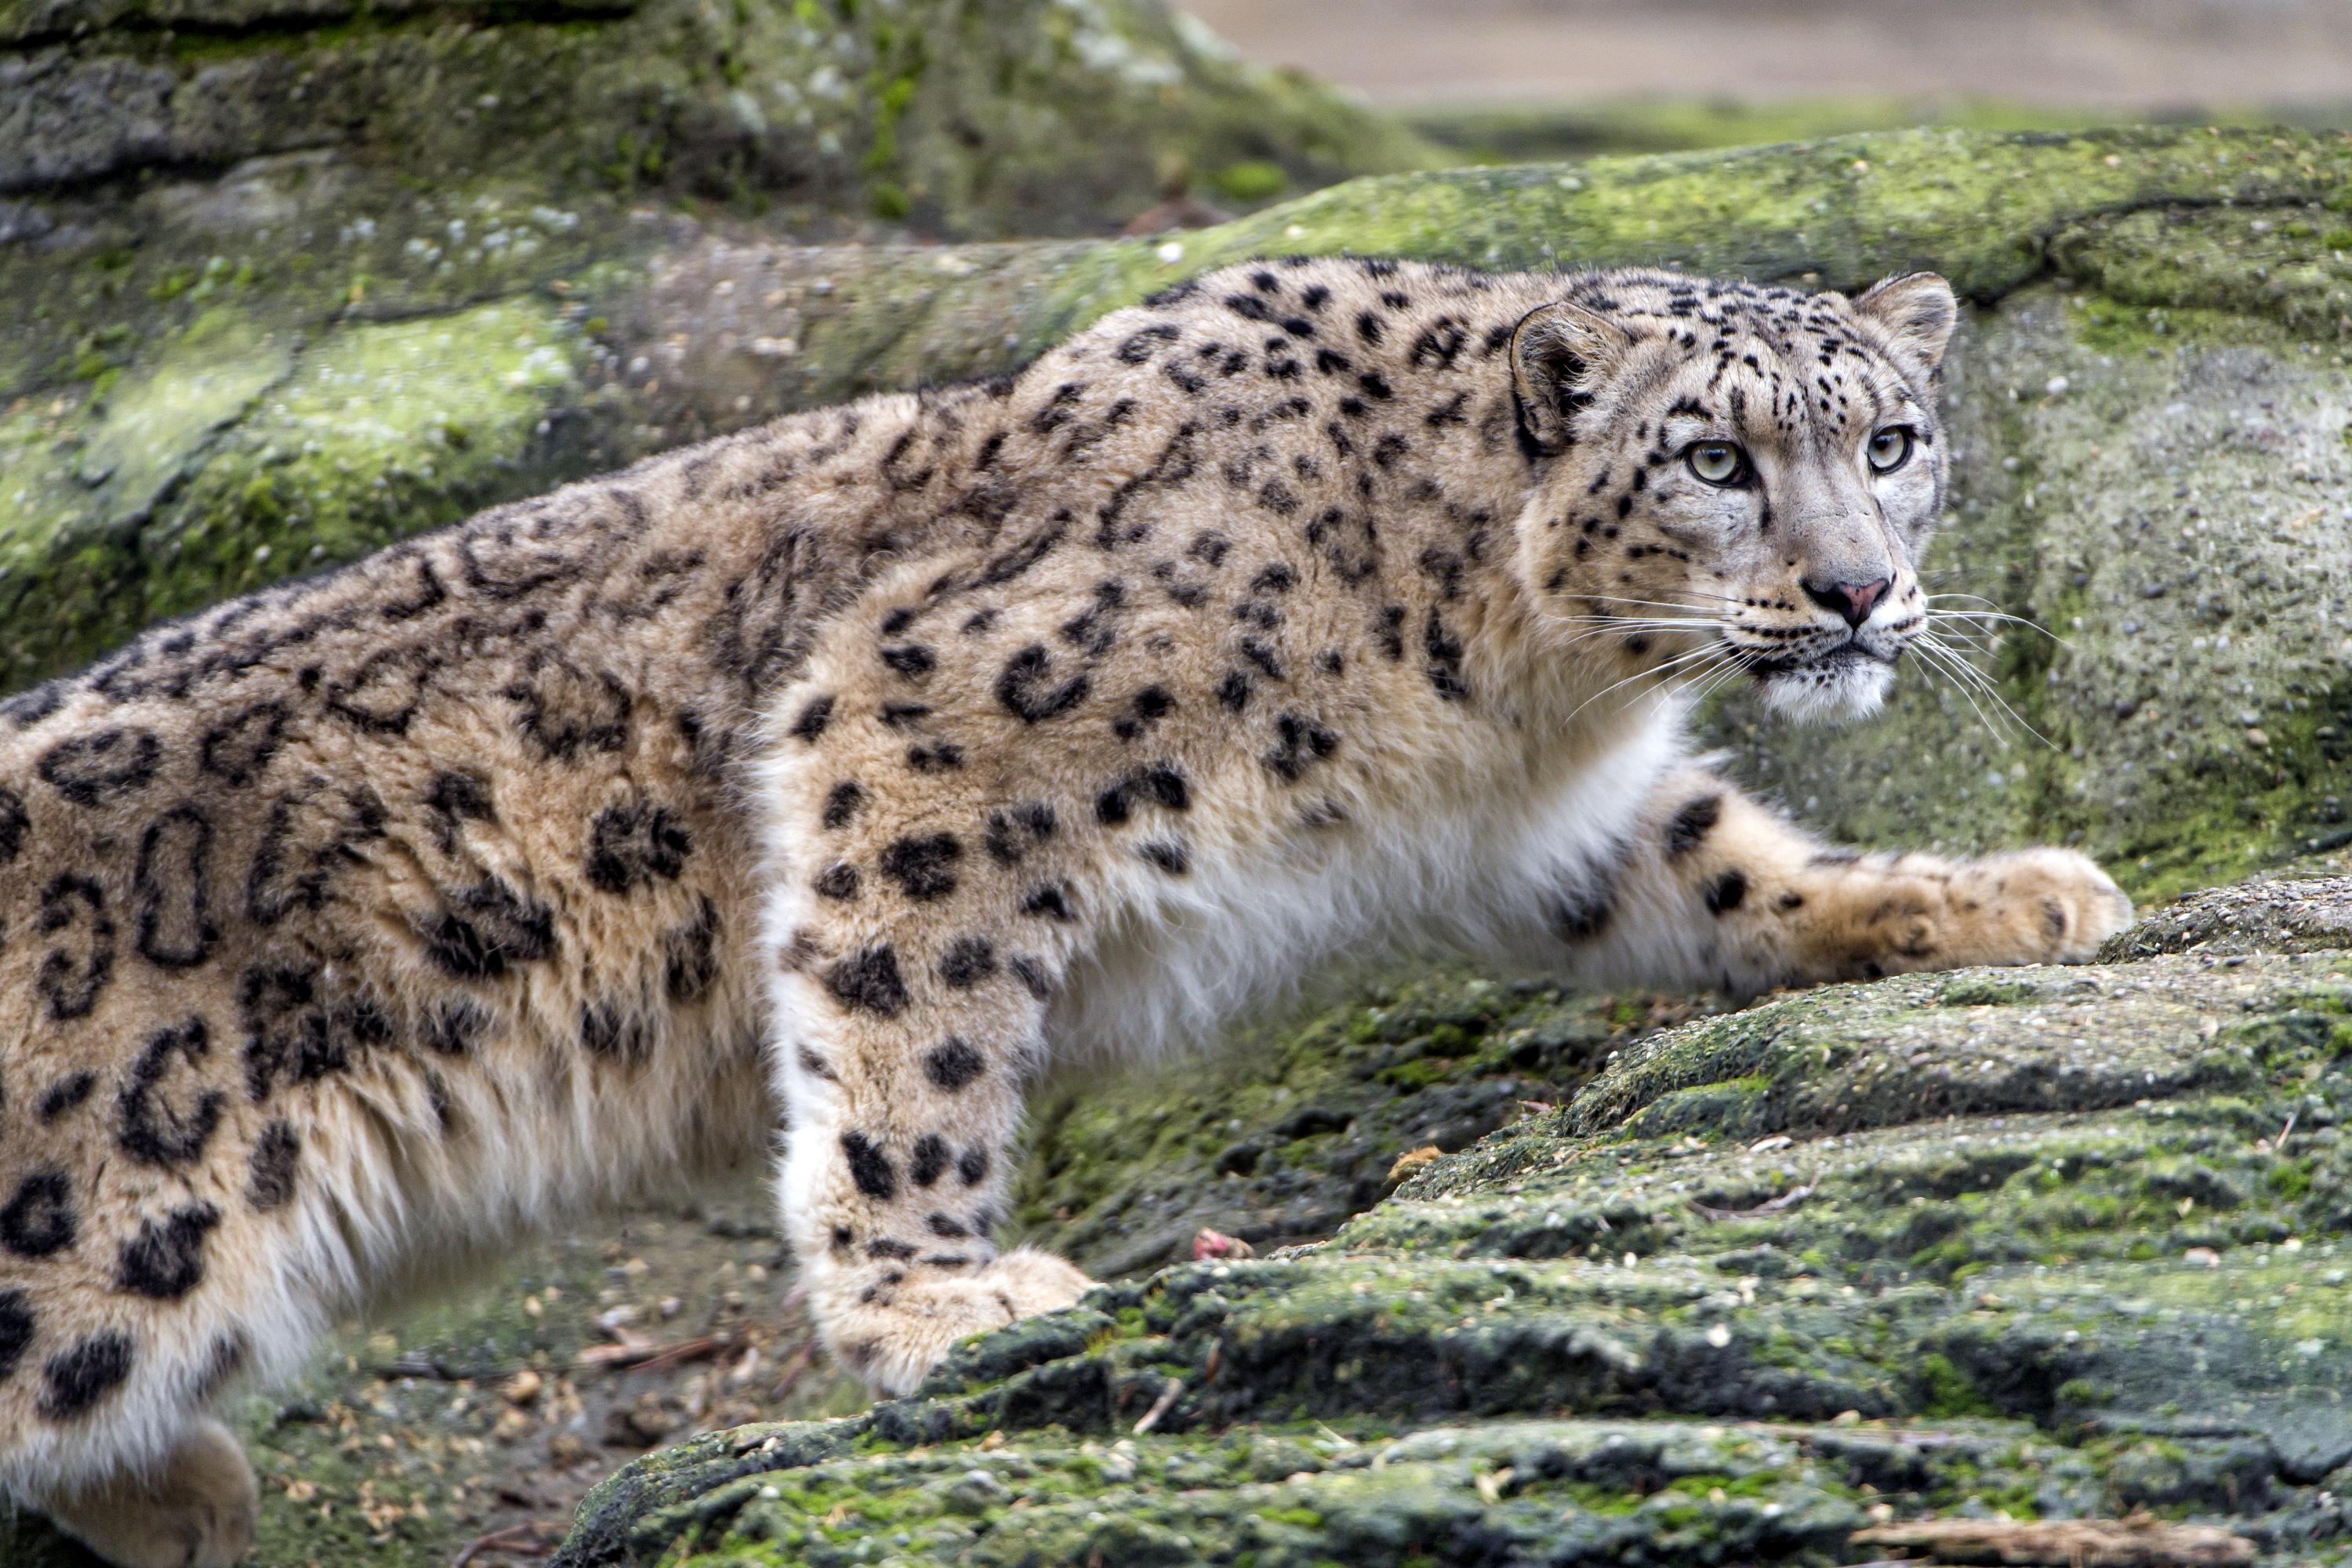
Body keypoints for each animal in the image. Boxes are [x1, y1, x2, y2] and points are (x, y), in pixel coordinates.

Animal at [0, 260, 2136, 1568]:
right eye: (1711, 457)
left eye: (1887, 443)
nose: (1858, 592)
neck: (1512, 689)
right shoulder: (912, 728)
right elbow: (904, 1034)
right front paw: (934, 1294)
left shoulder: (1560, 822)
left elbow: (1731, 861)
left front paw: (1998, 894)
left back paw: (176, 1484)